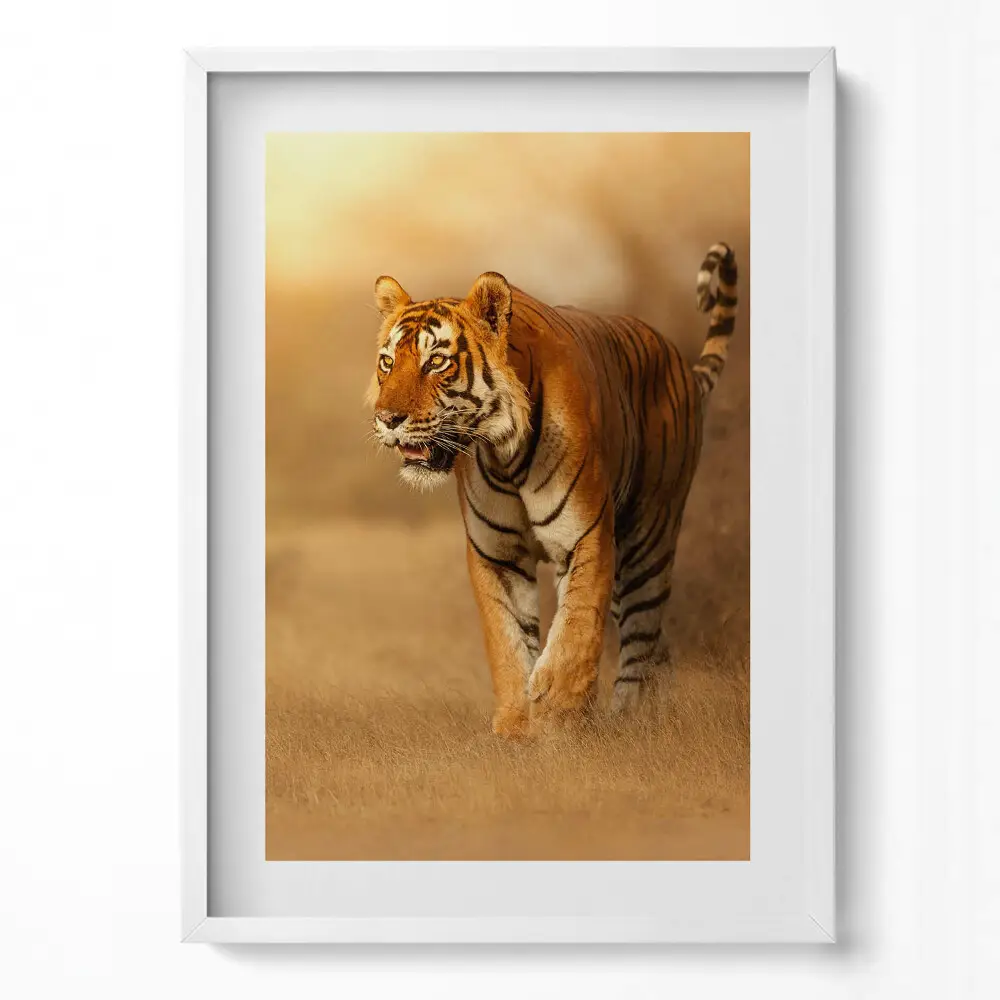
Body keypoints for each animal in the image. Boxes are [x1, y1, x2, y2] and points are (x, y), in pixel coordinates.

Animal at [368, 244, 738, 737]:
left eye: (436, 362)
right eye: (388, 362)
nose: (387, 419)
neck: (504, 452)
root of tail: (680, 362)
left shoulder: (586, 536)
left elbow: (576, 629)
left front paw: (559, 718)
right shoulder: (497, 554)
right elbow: (507, 640)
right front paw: (515, 726)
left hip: (648, 540)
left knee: (642, 639)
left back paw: (632, 720)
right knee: (658, 646)